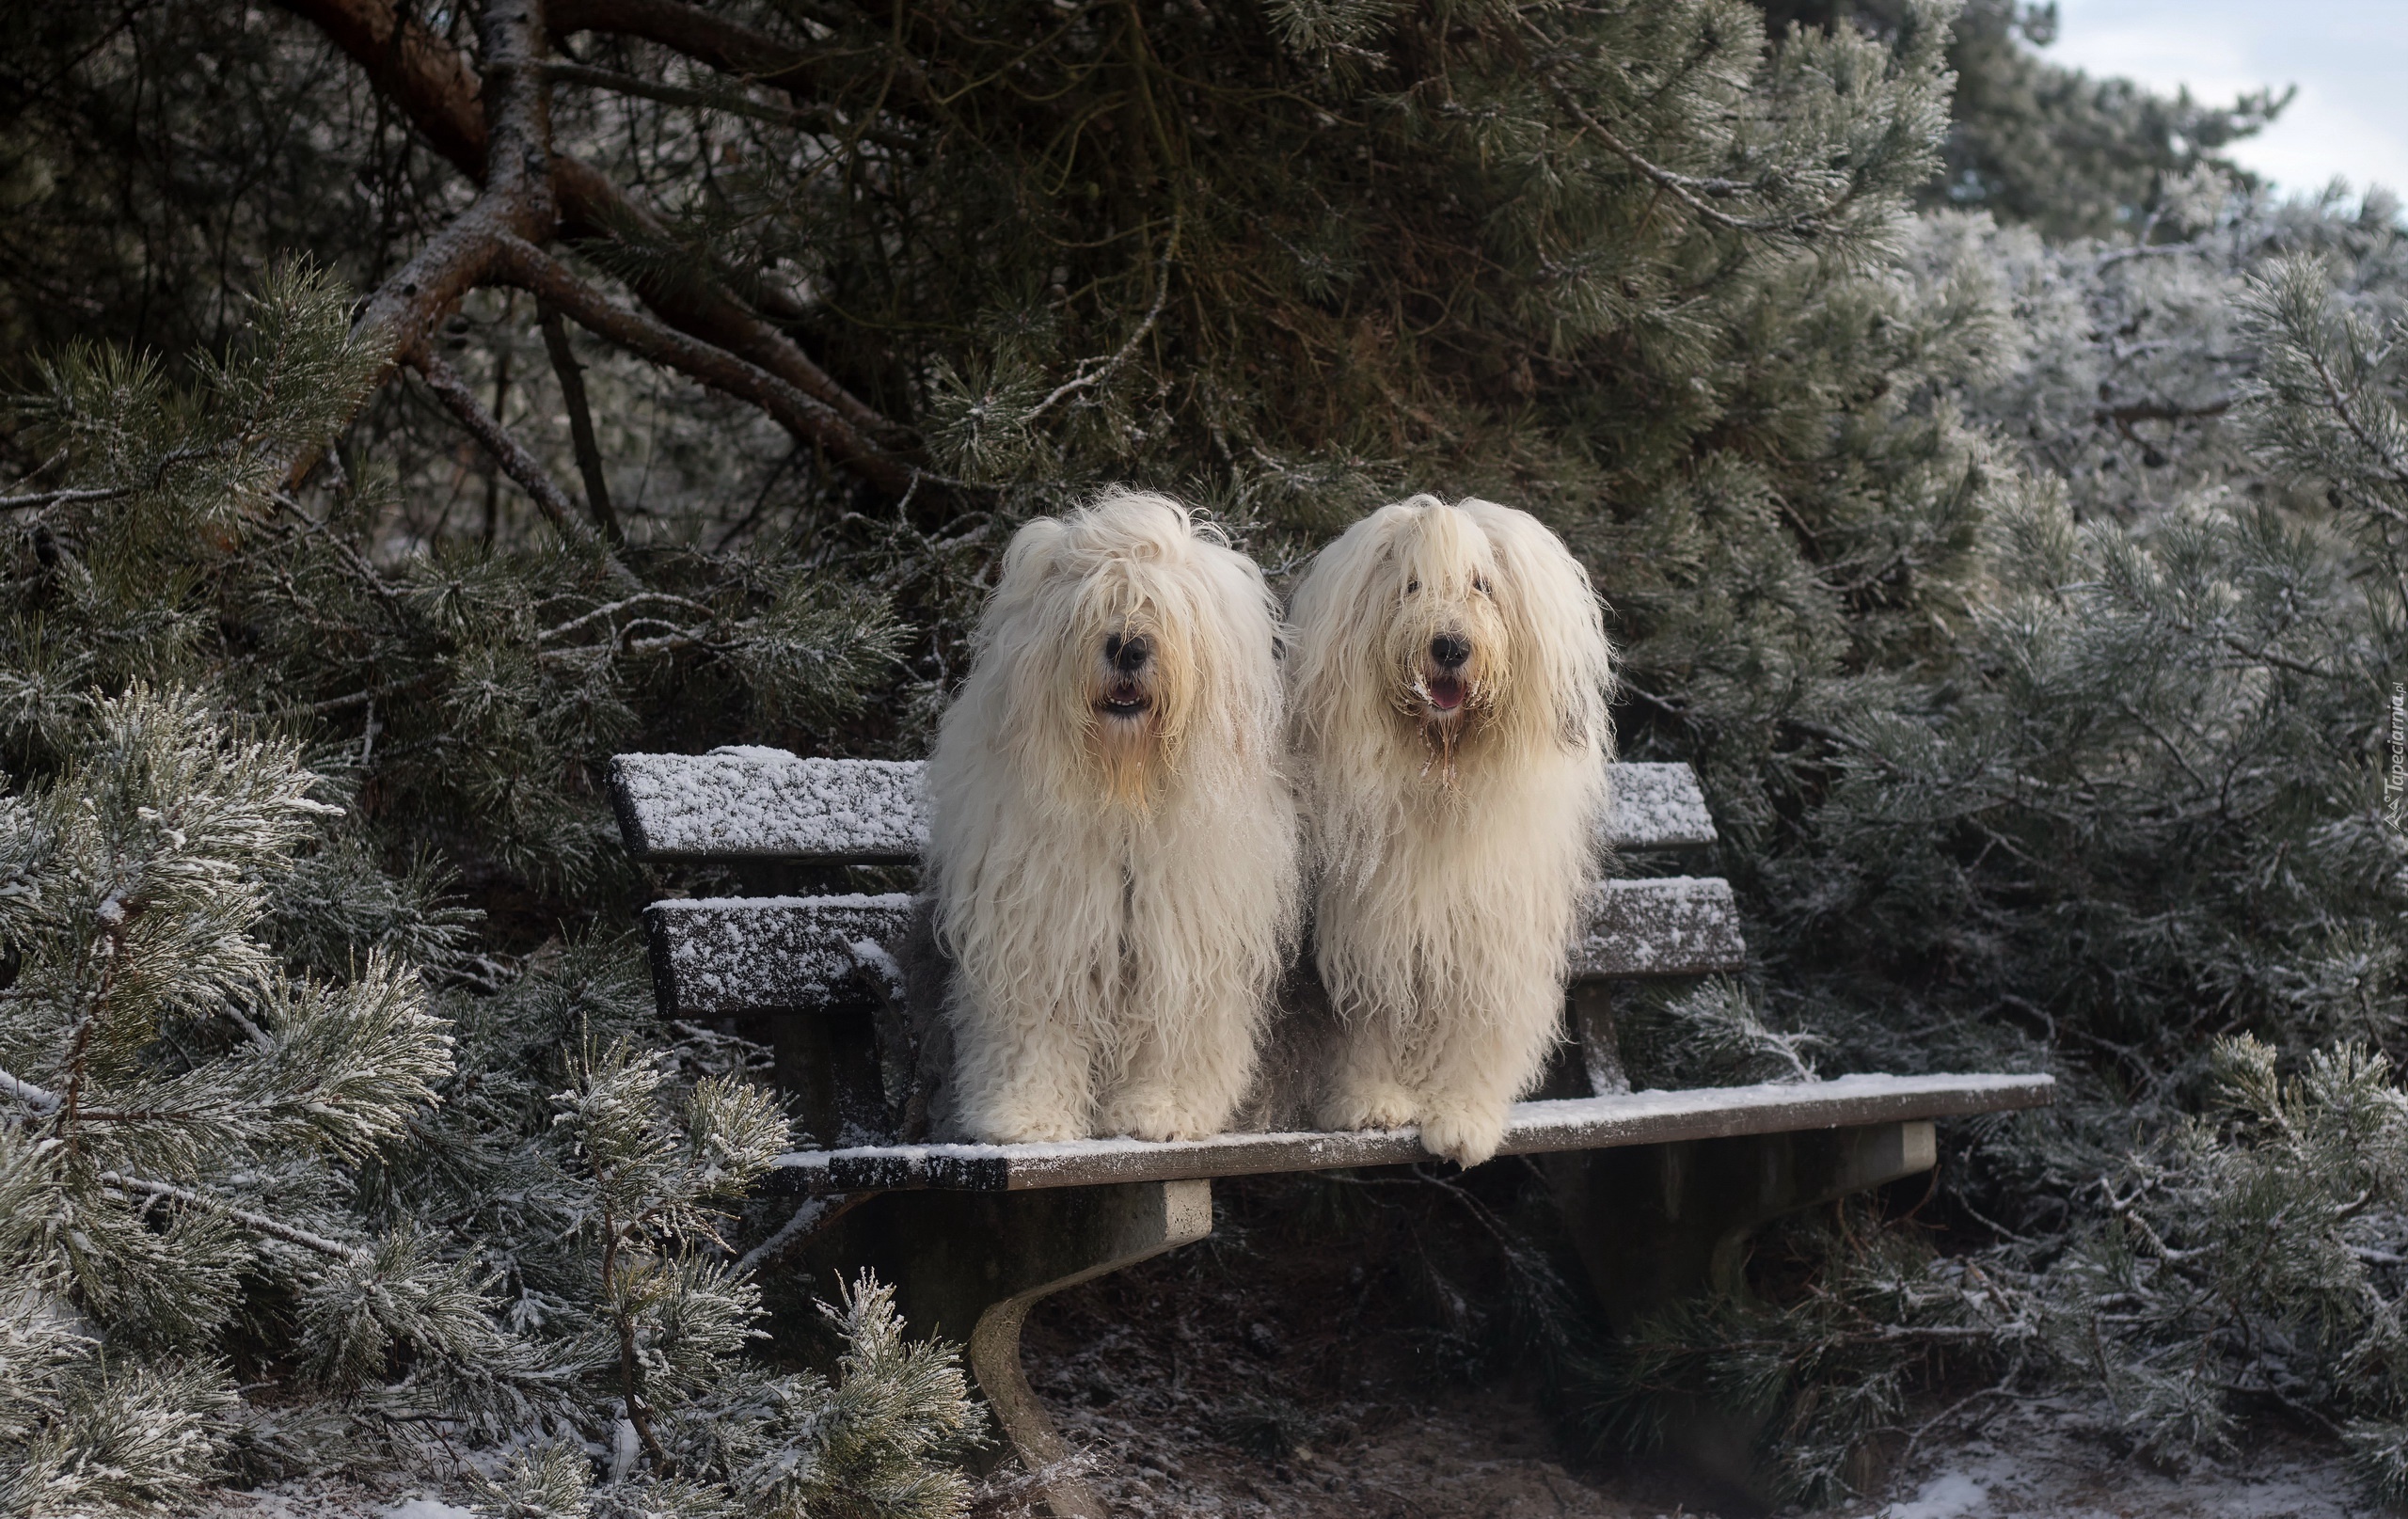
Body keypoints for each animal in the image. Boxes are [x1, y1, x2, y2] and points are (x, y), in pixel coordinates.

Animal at [919, 486, 1300, 1141]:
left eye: (1167, 610)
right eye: (1094, 604)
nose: (1127, 646)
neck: (1124, 794)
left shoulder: (1183, 941)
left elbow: (1174, 1034)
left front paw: (1160, 1111)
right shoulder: (1041, 930)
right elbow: (1036, 1033)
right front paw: (1027, 1116)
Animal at [1291, 493, 1608, 1169]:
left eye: (1482, 585)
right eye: (1411, 586)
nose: (1450, 646)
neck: (1442, 773)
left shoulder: (1488, 931)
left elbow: (1477, 1025)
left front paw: (1462, 1117)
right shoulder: (1371, 925)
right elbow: (1370, 1021)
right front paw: (1373, 1100)